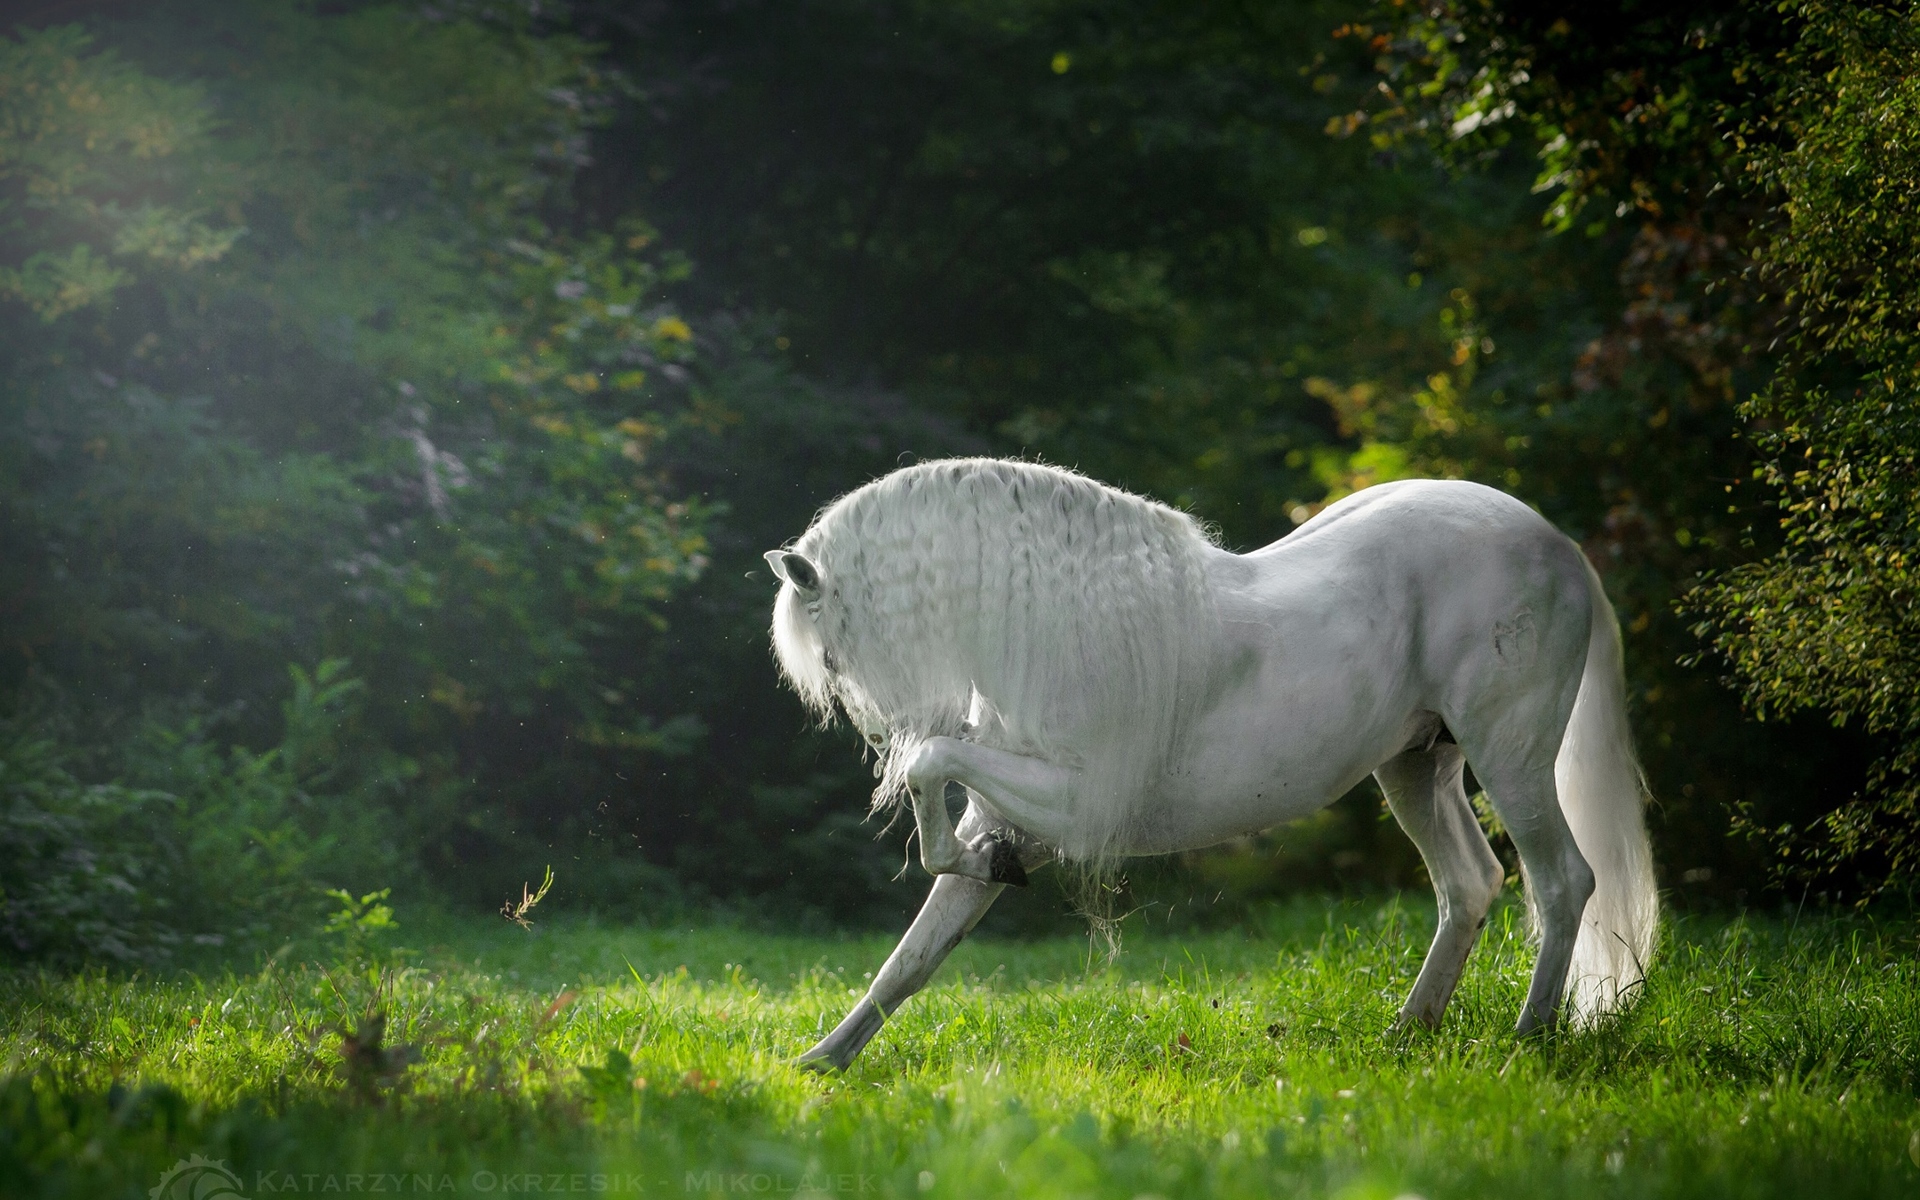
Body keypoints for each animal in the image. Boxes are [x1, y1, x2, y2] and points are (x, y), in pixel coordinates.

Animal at [760, 458, 1651, 1067]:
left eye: (831, 654)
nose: (882, 734)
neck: (1055, 631)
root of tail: (1556, 544)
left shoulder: (1076, 806)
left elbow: (934, 773)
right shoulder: (1014, 808)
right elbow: (912, 956)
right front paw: (822, 1062)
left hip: (1512, 756)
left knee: (1562, 882)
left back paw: (1527, 1041)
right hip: (1415, 769)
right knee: (1469, 886)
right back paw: (1407, 1034)